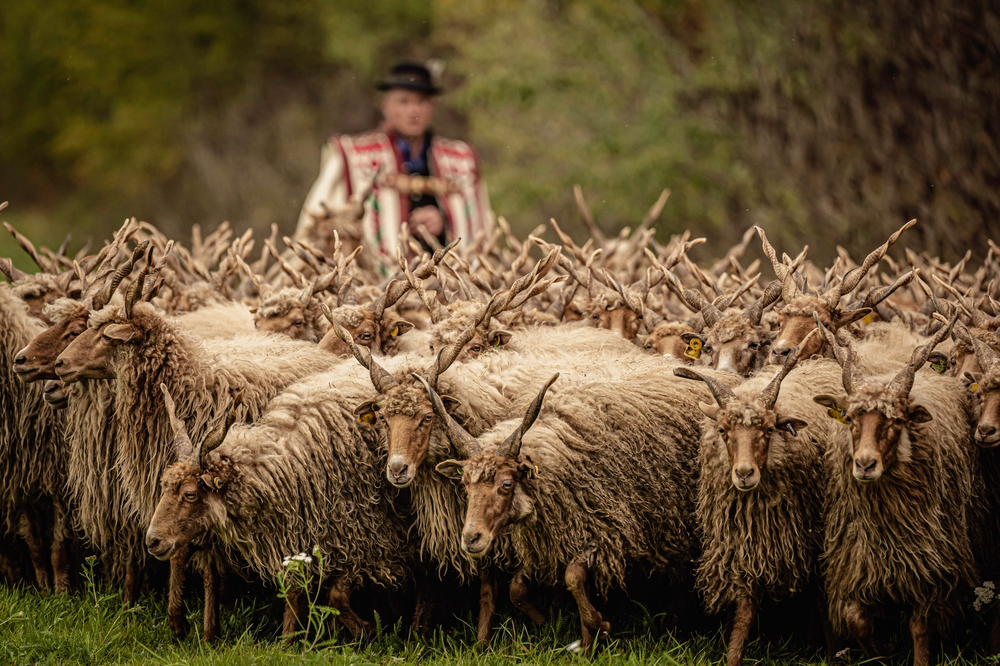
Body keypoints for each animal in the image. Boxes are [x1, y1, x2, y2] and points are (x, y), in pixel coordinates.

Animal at [146, 376, 410, 636]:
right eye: (164, 487)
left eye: (190, 494)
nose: (152, 541)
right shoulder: (304, 536)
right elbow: (297, 592)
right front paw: (293, 639)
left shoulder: (369, 539)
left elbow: (335, 597)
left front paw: (370, 630)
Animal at [672, 328, 844, 664]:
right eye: (723, 430)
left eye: (768, 429)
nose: (744, 473)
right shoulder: (744, 546)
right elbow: (744, 612)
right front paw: (733, 656)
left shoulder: (816, 539)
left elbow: (822, 602)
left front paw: (834, 654)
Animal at [808, 312, 972, 664]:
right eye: (849, 418)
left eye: (897, 420)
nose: (865, 464)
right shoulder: (855, 565)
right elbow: (856, 620)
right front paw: (884, 650)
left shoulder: (927, 567)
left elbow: (920, 628)